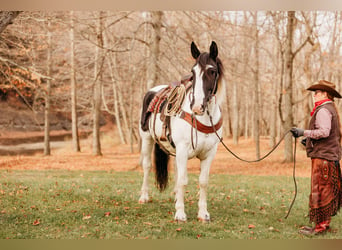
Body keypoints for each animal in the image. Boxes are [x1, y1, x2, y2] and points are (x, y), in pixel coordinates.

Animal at [138, 41, 226, 223]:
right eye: (193, 73)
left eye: (212, 71)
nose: (197, 107)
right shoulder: (183, 149)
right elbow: (183, 180)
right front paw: (180, 213)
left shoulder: (209, 153)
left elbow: (203, 181)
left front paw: (203, 214)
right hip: (147, 139)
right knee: (147, 166)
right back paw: (144, 197)